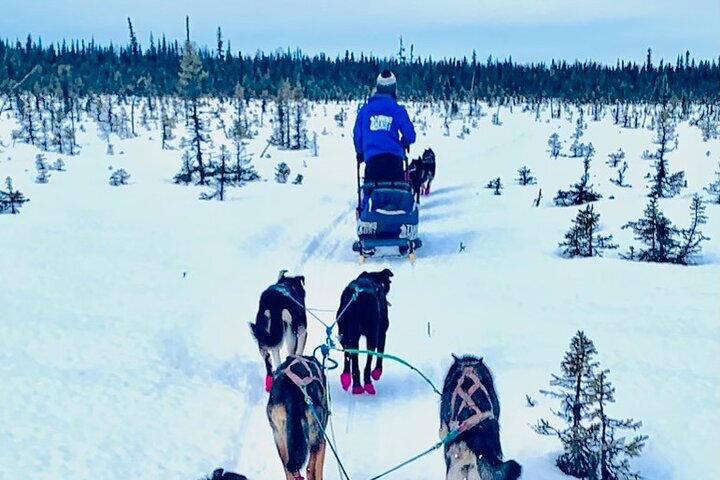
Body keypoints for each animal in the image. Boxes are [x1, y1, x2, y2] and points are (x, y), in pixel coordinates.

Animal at [338, 268, 394, 396]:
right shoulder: (381, 333)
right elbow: (380, 354)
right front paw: (377, 372)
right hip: (372, 334)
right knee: (367, 363)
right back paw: (366, 384)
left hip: (345, 332)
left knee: (349, 356)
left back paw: (350, 381)